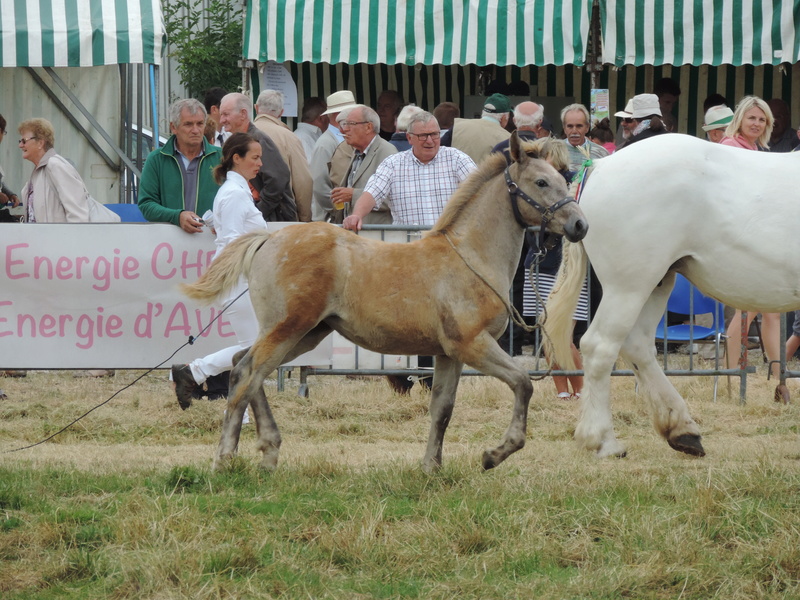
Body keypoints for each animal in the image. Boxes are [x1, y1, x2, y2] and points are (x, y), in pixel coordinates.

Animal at [544, 132, 800, 460]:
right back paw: (603, 441)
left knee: (638, 346)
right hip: (629, 286)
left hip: (656, 283)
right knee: (600, 347)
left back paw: (682, 430)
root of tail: (599, 167)